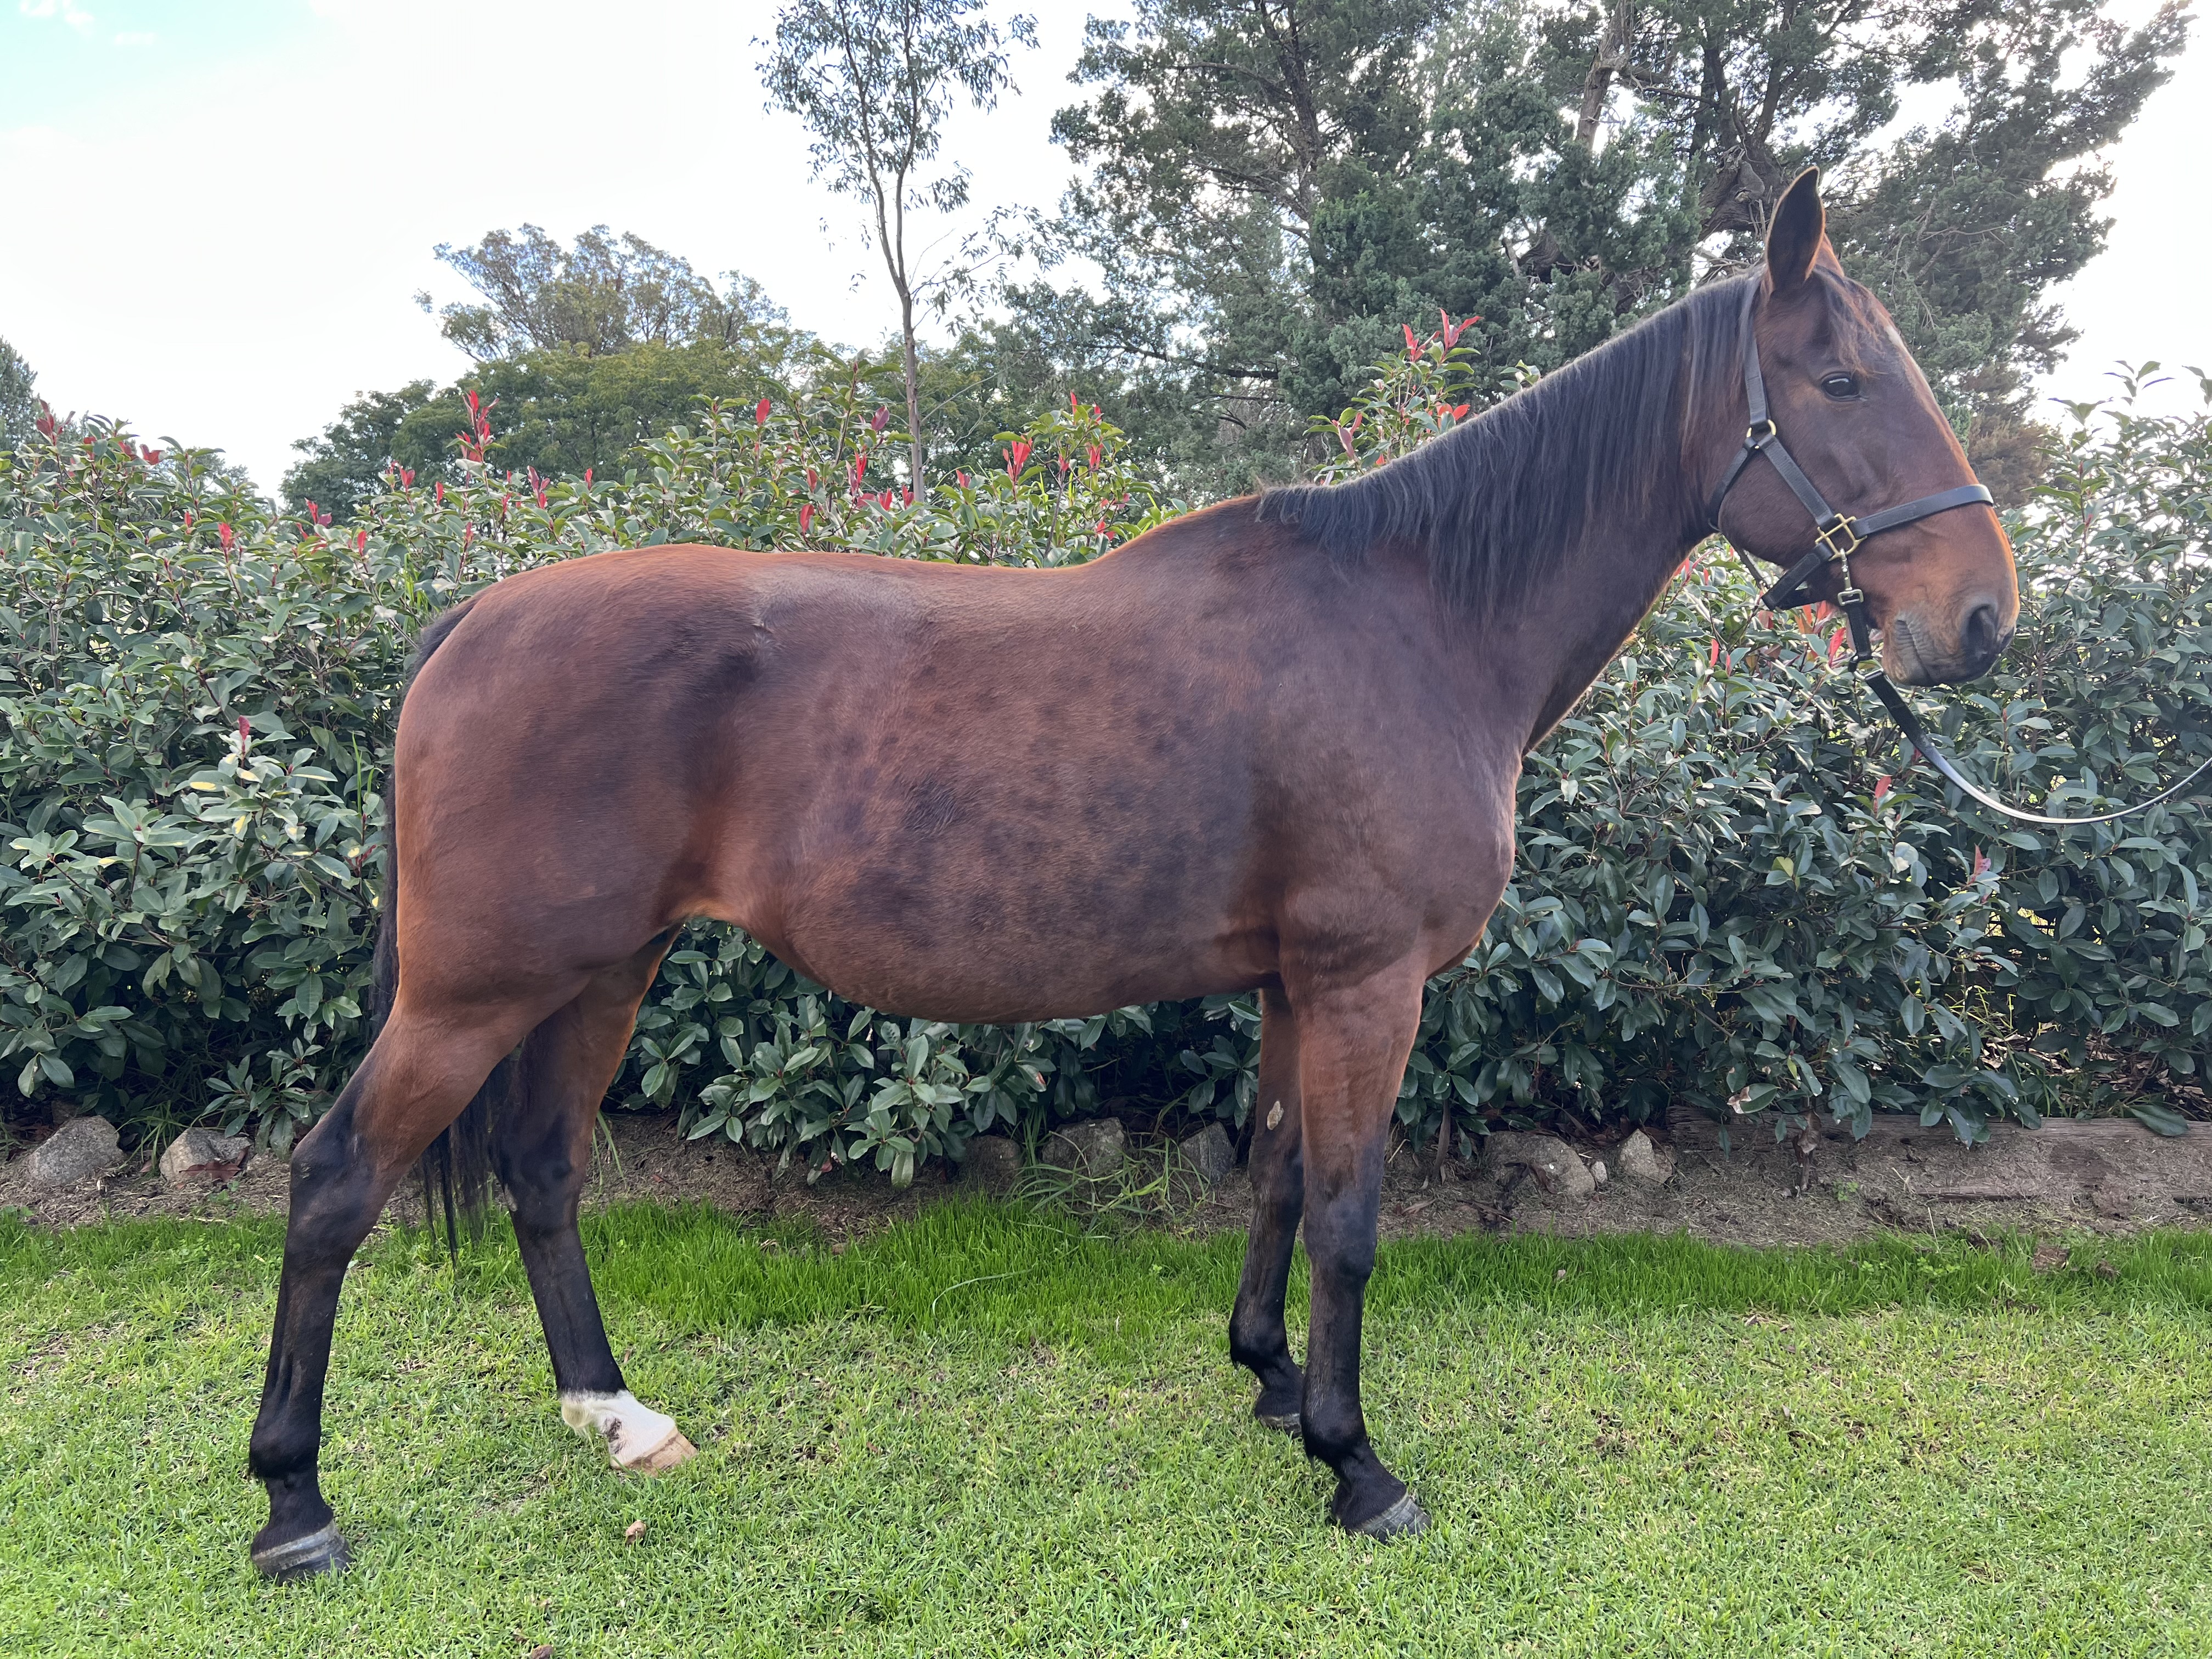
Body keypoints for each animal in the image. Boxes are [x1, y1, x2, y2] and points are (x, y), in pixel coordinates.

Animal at [245, 169, 2017, 1578]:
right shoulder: (1369, 983)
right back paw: (294, 1507)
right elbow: (1354, 1214)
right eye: (1840, 376)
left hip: (600, 973)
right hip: (477, 990)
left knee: (545, 1170)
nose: (1983, 617)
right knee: (335, 1182)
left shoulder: (1301, 983)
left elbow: (1283, 1177)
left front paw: (1273, 1384)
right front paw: (1360, 1469)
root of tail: (476, 617)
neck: (1420, 624)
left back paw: (616, 1418)